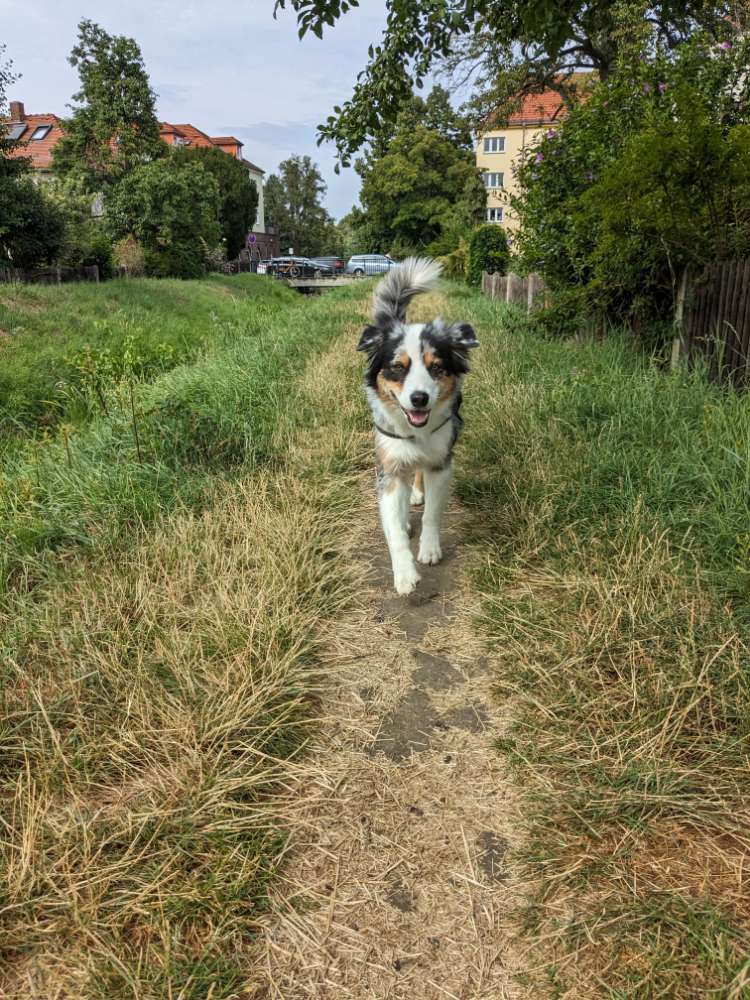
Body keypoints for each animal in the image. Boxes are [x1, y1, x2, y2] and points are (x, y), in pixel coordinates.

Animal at [360, 256, 482, 592]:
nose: (419, 399)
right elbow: (394, 529)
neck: (416, 431)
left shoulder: (442, 462)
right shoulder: (388, 468)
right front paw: (404, 573)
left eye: (436, 367)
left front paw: (429, 549)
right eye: (397, 368)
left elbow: (432, 513)